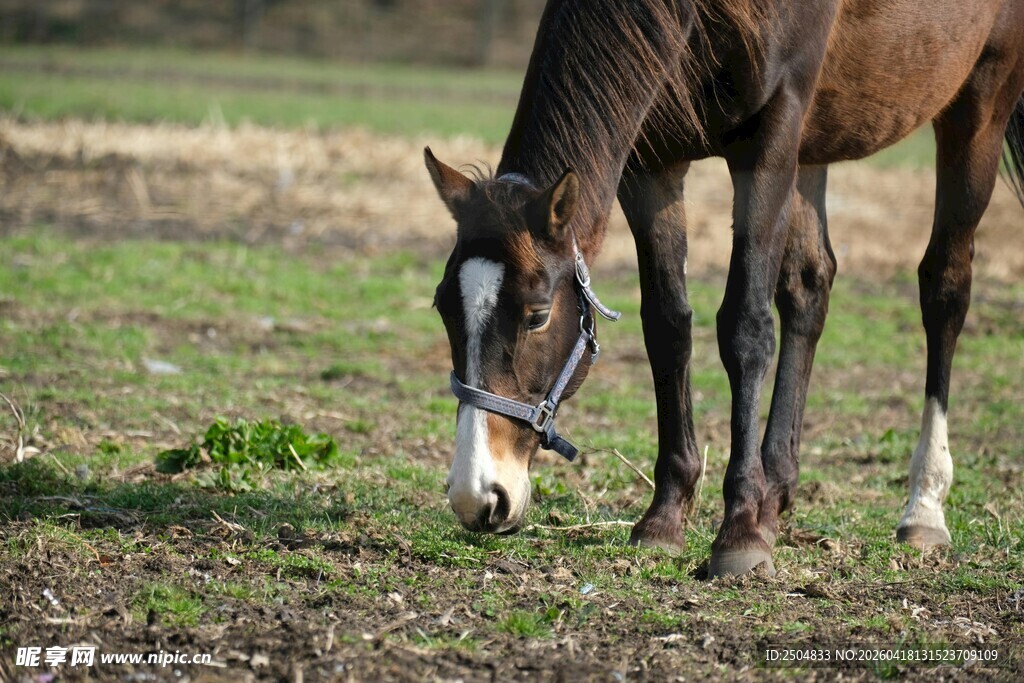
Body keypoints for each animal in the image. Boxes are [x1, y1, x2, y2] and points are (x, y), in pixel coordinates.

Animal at [424, 0, 1024, 577]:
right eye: (443, 309)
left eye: (537, 315)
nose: (477, 496)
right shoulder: (653, 163)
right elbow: (667, 327)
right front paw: (666, 517)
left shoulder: (771, 139)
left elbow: (745, 330)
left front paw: (740, 533)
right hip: (815, 146)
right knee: (810, 286)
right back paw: (776, 493)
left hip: (980, 104)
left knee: (945, 289)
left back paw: (923, 507)